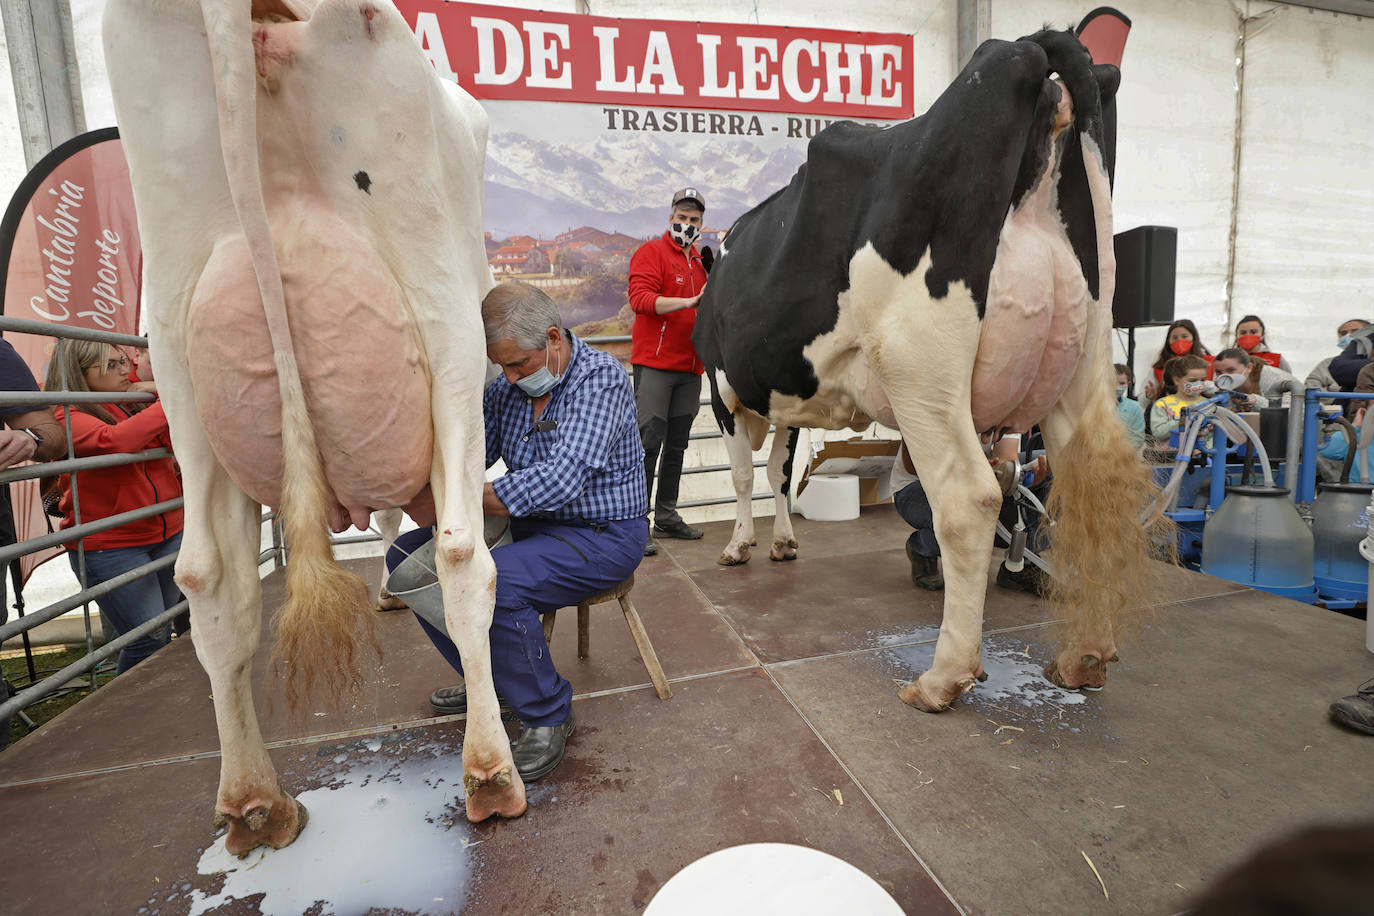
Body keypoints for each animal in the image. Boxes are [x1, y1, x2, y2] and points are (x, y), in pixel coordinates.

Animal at [104, 0, 522, 862]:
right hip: (444, 324)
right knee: (462, 555)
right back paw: (492, 777)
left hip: (178, 360)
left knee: (209, 581)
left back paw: (255, 804)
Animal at [697, 26, 1159, 708]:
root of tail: (1027, 49)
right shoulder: (789, 399)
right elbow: (780, 470)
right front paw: (781, 541)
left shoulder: (720, 388)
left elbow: (741, 475)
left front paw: (739, 546)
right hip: (1083, 364)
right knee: (1091, 487)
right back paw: (1084, 656)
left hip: (920, 367)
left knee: (969, 499)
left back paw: (943, 677)